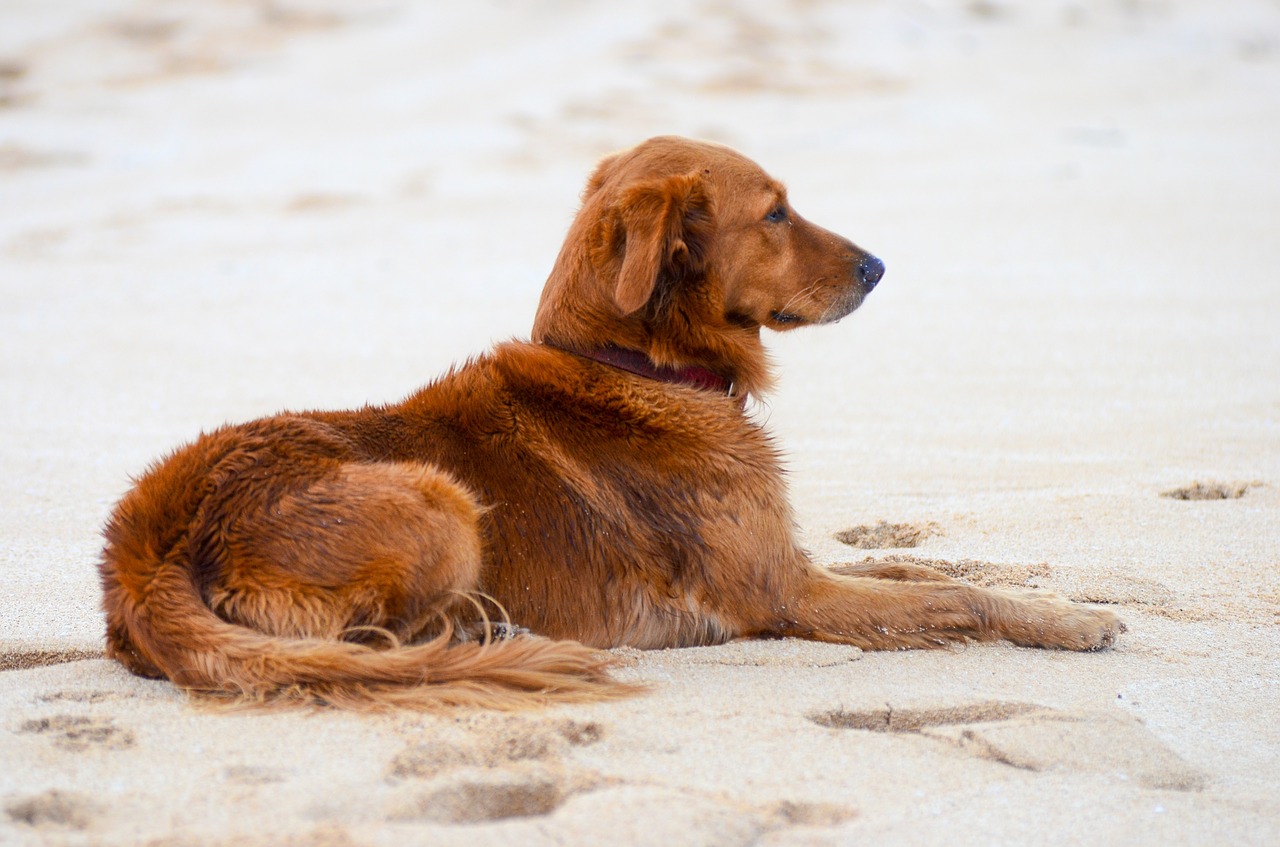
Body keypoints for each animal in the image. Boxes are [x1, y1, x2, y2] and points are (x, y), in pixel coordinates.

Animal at [99, 139, 1121, 711]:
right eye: (776, 212)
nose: (878, 265)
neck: (638, 363)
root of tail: (144, 547)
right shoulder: (786, 593)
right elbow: (958, 600)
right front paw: (1071, 618)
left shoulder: (795, 559)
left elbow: (928, 571)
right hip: (440, 498)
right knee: (360, 641)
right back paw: (477, 636)